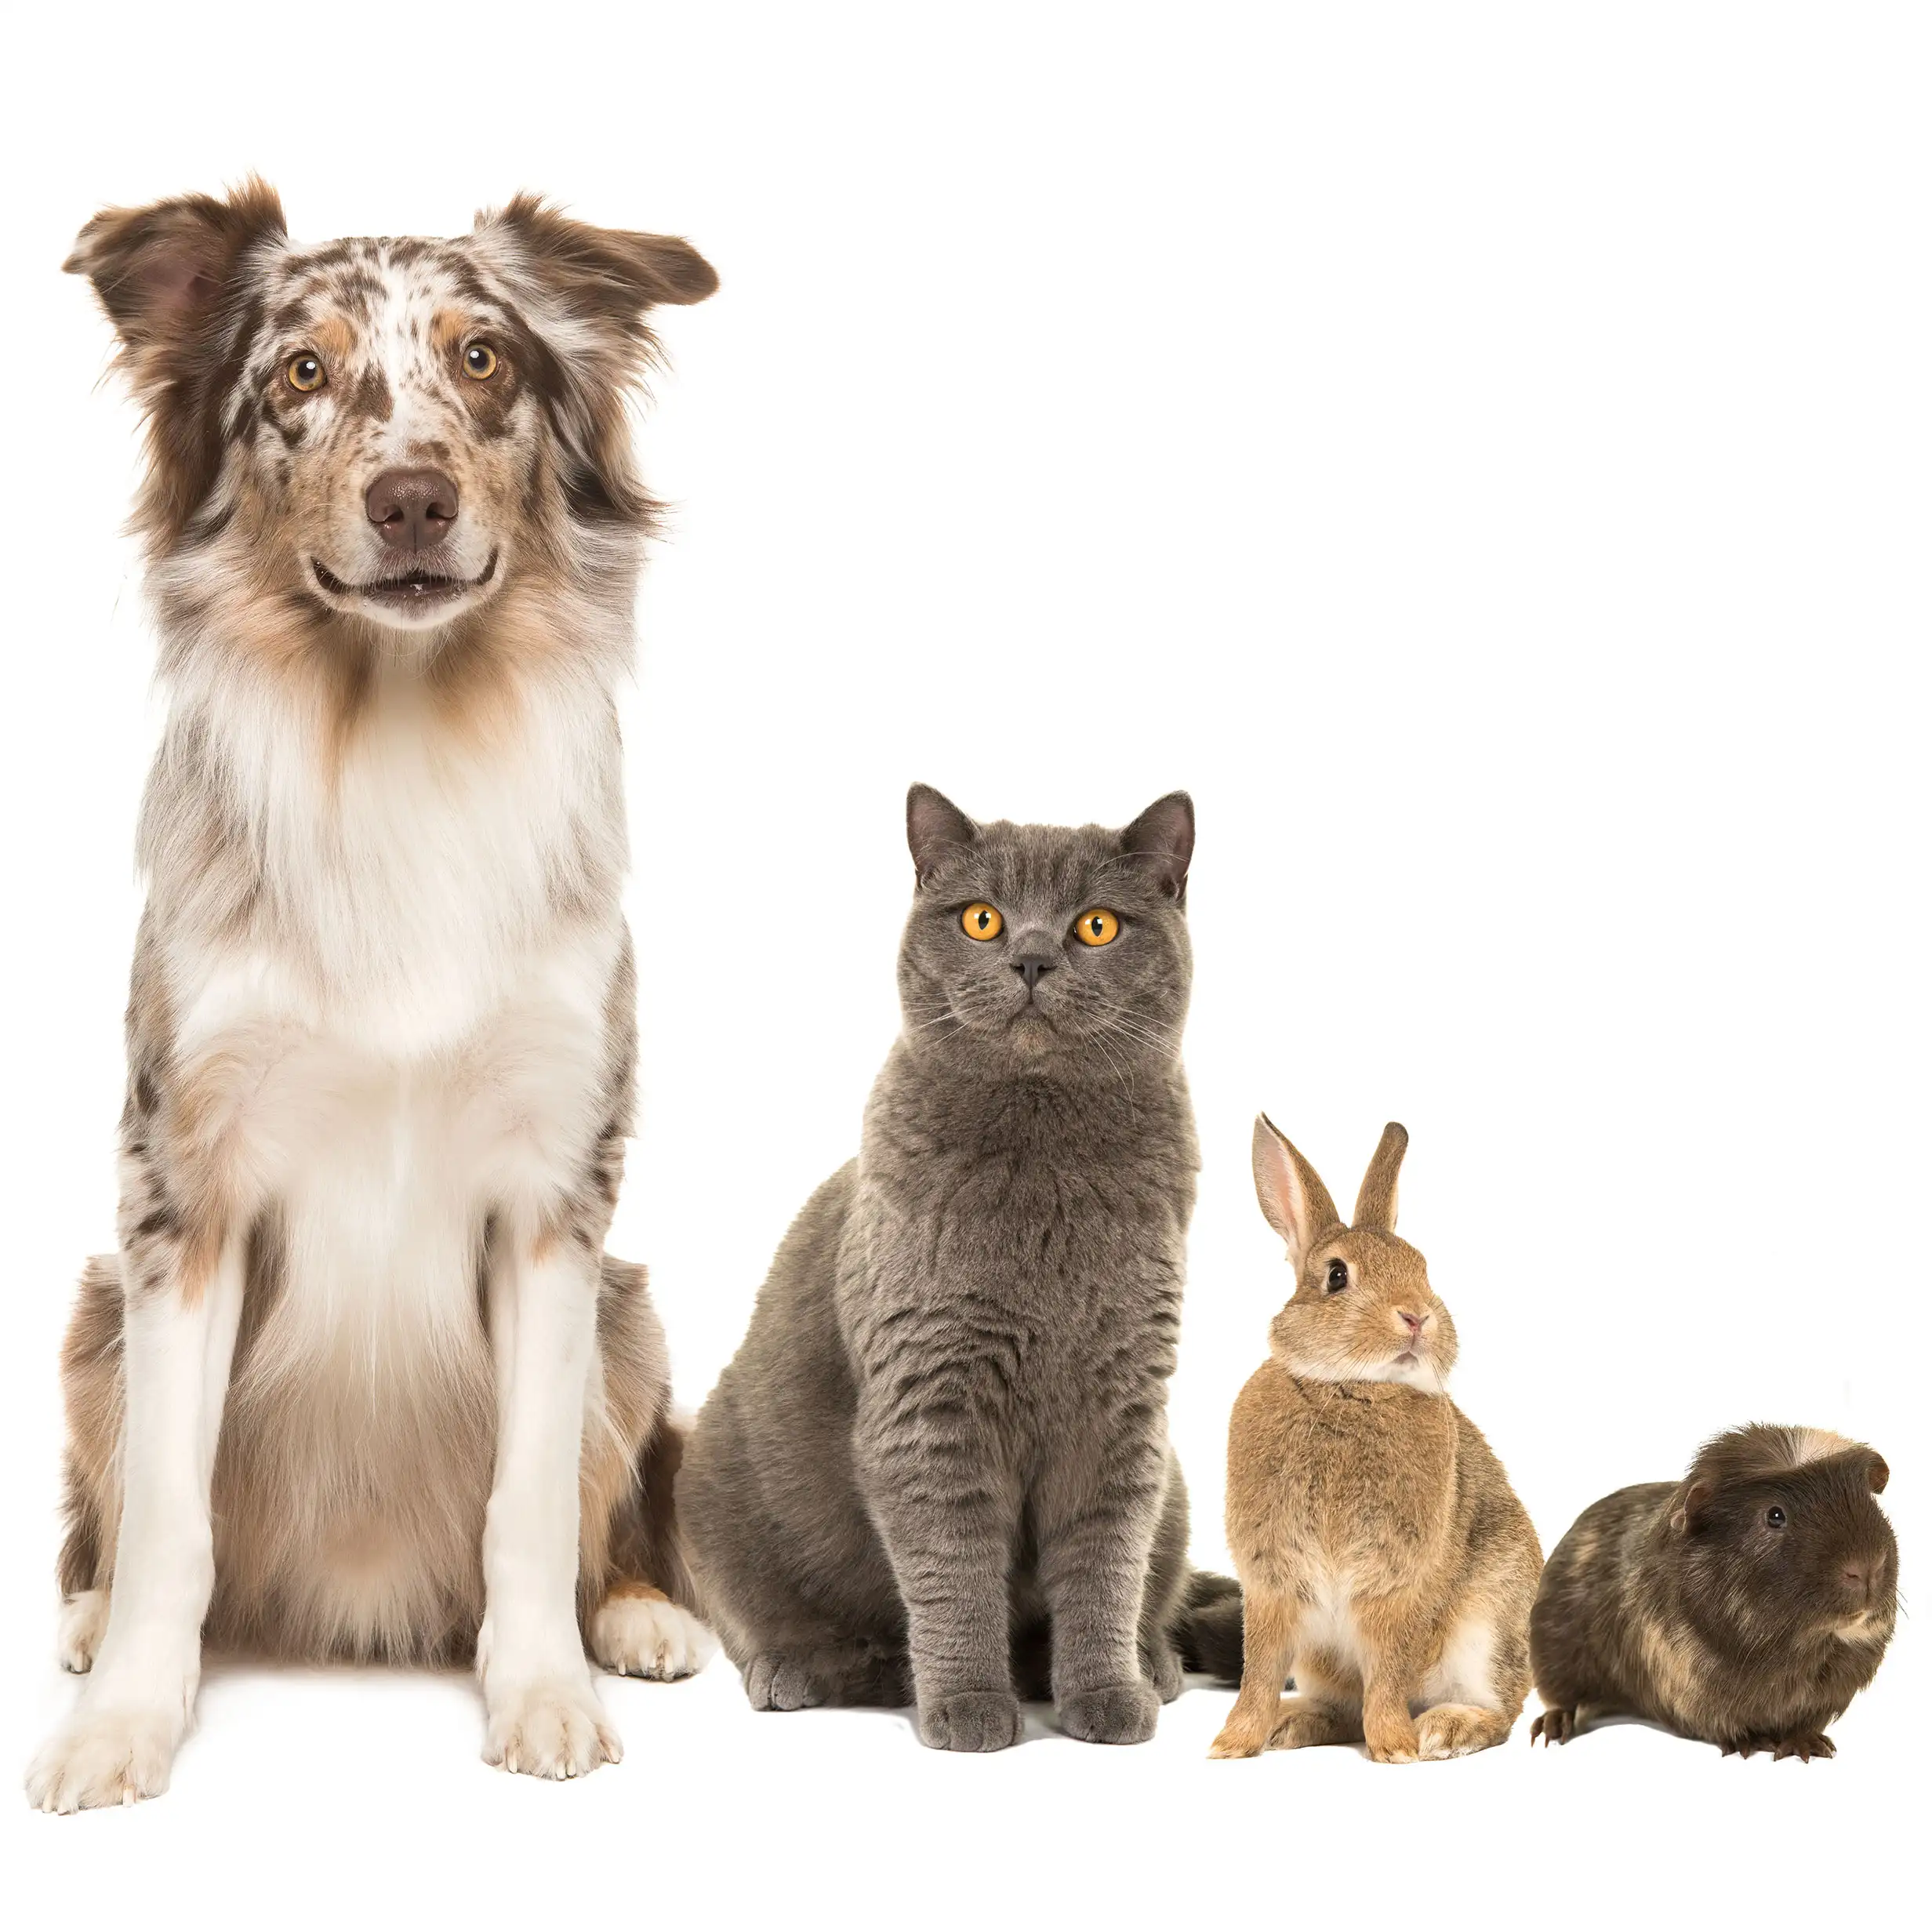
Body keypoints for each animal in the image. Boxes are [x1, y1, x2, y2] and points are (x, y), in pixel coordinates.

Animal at [26, 181, 722, 1808]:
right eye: (299, 371)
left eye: (481, 358)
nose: (412, 499)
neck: (400, 727)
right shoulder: (182, 1188)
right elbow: (169, 1514)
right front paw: (126, 1717)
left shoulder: (556, 1194)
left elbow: (530, 1500)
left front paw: (542, 1689)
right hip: (89, 1315)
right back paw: (83, 1617)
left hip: (632, 1308)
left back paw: (639, 1613)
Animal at [680, 780, 1244, 1754]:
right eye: (982, 918)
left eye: (1096, 925)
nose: (1030, 957)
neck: (1047, 1168)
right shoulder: (931, 1397)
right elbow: (952, 1568)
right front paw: (968, 1704)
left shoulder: (1122, 1404)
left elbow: (1104, 1562)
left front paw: (1104, 1694)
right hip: (708, 1474)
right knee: (763, 1616)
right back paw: (817, 1668)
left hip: (1171, 1475)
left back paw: (1150, 1663)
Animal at [1213, 1120, 1545, 1770]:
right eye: (1337, 1276)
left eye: (1423, 1268)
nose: (1417, 1317)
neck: (1348, 1388)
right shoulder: (1272, 1581)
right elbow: (1258, 1671)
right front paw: (1231, 1745)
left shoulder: (1396, 1583)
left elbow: (1388, 1672)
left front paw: (1396, 1748)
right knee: (1340, 1708)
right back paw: (1293, 1723)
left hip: (1490, 1621)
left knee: (1498, 1712)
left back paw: (1443, 1730)